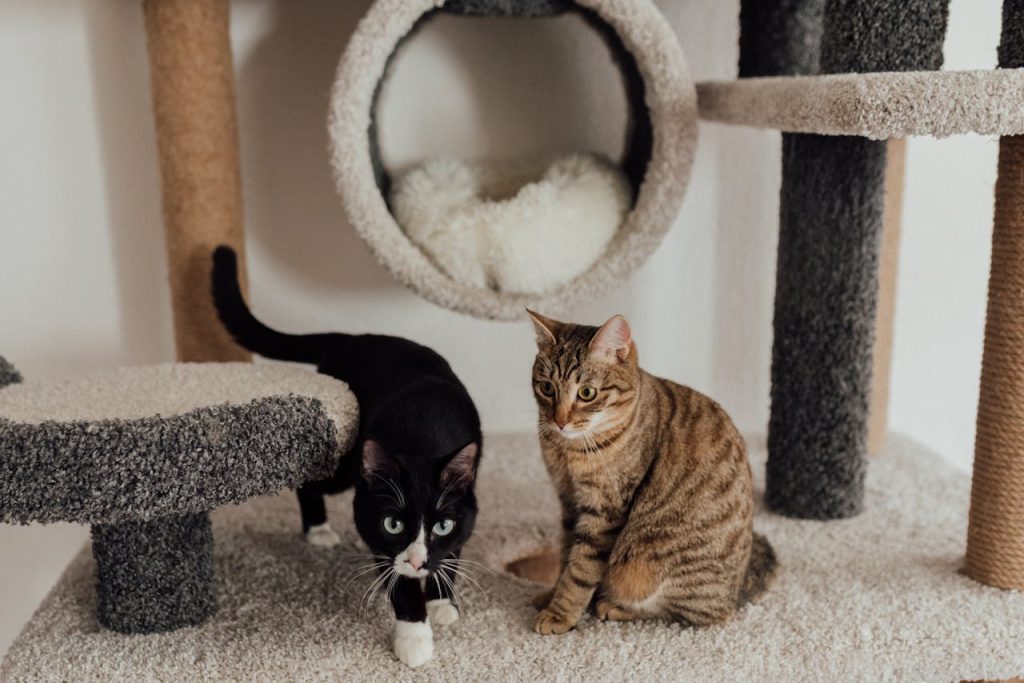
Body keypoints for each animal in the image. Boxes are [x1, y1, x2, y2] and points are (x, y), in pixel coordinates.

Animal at [209, 246, 481, 667]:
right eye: (393, 525)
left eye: (442, 525)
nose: (418, 562)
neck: (425, 437)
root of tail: (352, 339)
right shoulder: (371, 519)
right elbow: (397, 578)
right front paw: (415, 637)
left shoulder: (465, 504)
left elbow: (454, 547)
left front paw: (441, 600)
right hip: (343, 454)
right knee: (310, 482)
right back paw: (318, 530)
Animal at [528, 311, 774, 634]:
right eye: (547, 388)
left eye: (586, 393)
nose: (559, 421)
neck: (567, 451)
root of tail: (737, 588)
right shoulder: (568, 502)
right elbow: (566, 555)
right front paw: (550, 595)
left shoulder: (603, 512)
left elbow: (580, 570)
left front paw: (560, 614)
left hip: (650, 561)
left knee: (695, 614)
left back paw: (613, 607)